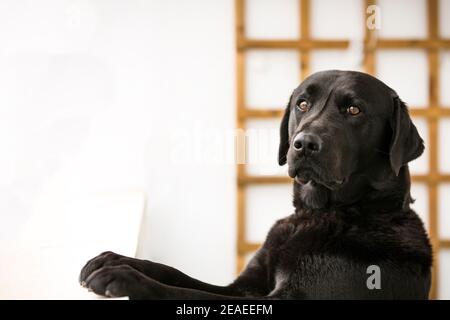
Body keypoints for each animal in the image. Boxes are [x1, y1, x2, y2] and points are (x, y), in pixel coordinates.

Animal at [79, 70, 430, 300]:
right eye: (303, 104)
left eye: (354, 110)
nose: (304, 144)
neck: (319, 215)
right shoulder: (244, 286)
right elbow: (179, 275)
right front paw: (117, 260)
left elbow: (188, 293)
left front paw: (123, 277)